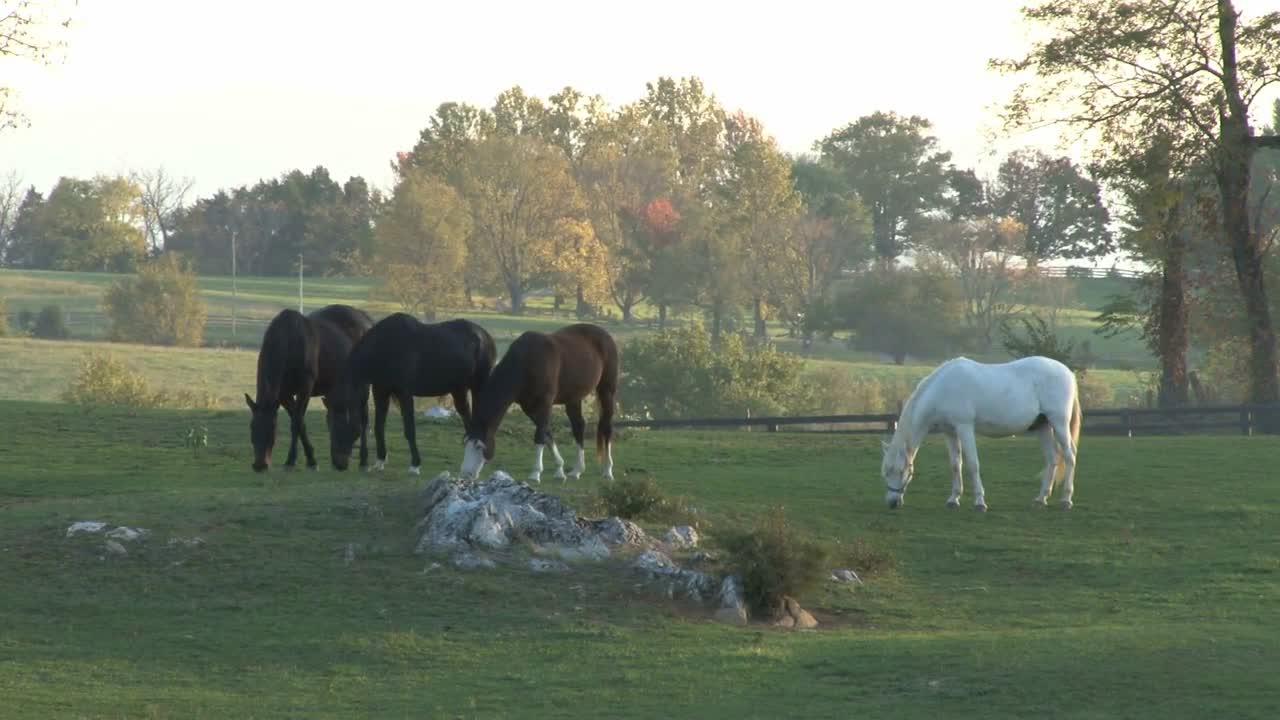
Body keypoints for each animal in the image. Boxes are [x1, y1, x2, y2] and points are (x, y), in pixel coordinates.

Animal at [243, 302, 373, 471]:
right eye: (252, 428)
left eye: (272, 429)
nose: (259, 464)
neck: (289, 341)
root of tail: (366, 319)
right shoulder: (284, 394)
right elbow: (300, 422)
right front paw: (309, 459)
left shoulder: (305, 388)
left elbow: (296, 423)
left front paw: (294, 460)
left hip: (363, 383)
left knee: (364, 417)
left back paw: (363, 460)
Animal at [325, 312, 494, 471]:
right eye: (329, 425)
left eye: (340, 425)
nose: (338, 464)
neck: (384, 348)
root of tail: (485, 336)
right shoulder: (381, 392)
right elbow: (379, 427)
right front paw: (380, 461)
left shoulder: (404, 394)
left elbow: (409, 430)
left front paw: (415, 465)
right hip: (459, 389)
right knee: (467, 417)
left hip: (478, 386)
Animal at [460, 324, 619, 481]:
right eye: (465, 443)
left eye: (479, 446)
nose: (466, 474)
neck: (527, 362)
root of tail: (605, 334)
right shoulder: (529, 407)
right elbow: (547, 433)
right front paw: (559, 469)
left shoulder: (544, 404)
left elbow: (540, 436)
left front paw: (535, 473)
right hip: (573, 397)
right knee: (578, 425)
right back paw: (577, 470)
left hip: (606, 390)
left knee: (606, 426)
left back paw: (608, 471)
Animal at [880, 353, 1080, 509]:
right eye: (886, 473)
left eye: (900, 471)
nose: (892, 503)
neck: (943, 389)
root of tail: (1067, 372)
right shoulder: (949, 432)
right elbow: (955, 465)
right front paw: (953, 499)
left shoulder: (965, 427)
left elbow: (972, 464)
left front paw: (979, 502)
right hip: (1043, 425)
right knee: (1052, 459)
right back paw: (1041, 499)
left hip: (1059, 423)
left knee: (1069, 457)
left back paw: (1066, 500)